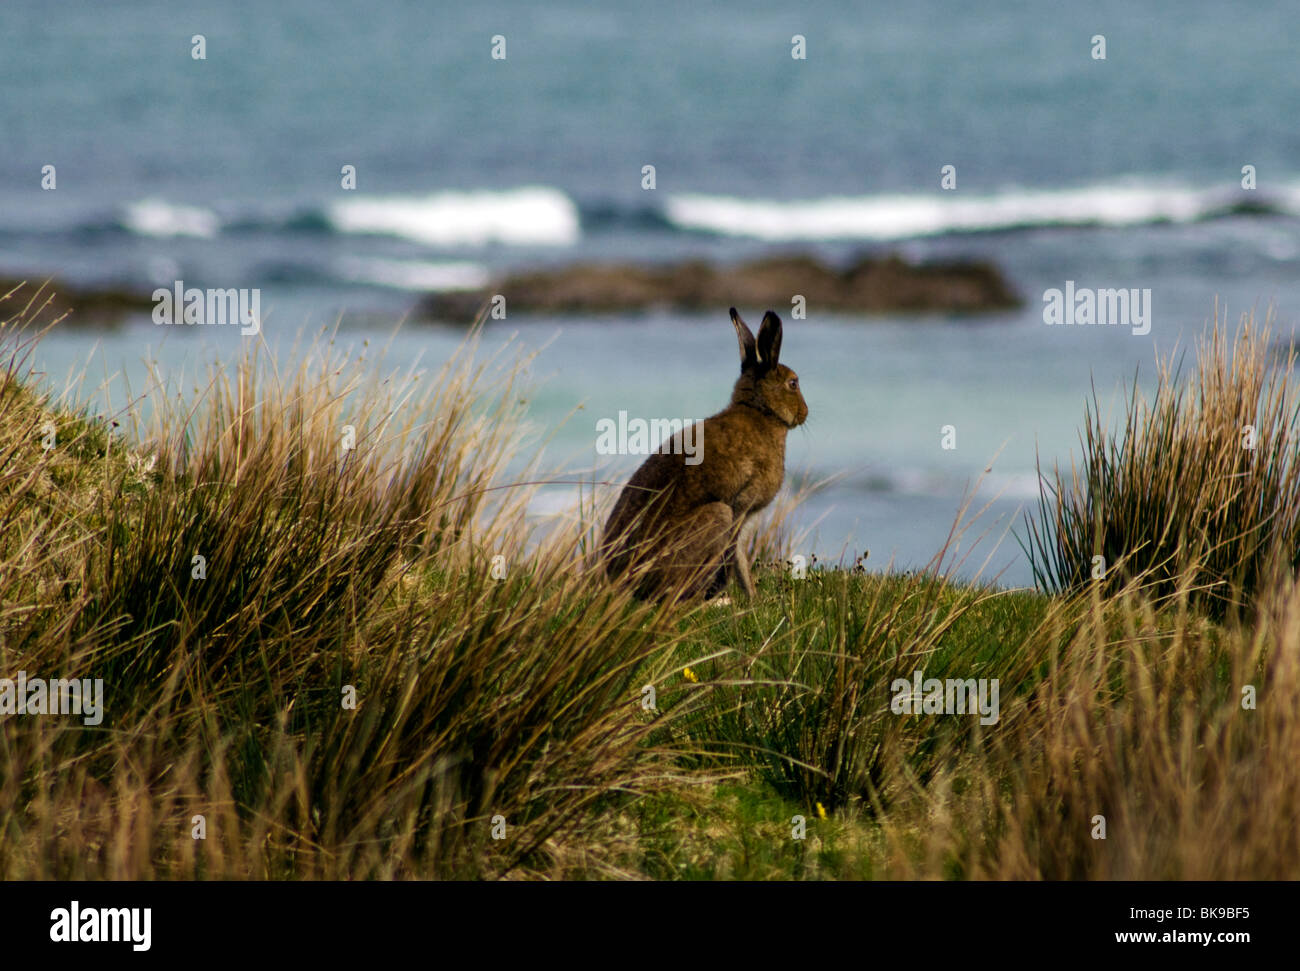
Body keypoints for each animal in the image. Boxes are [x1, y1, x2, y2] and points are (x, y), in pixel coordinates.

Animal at [602, 307, 808, 602]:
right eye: (793, 383)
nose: (804, 413)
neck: (761, 412)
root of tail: (622, 579)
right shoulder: (741, 505)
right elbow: (735, 556)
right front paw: (745, 596)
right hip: (716, 516)